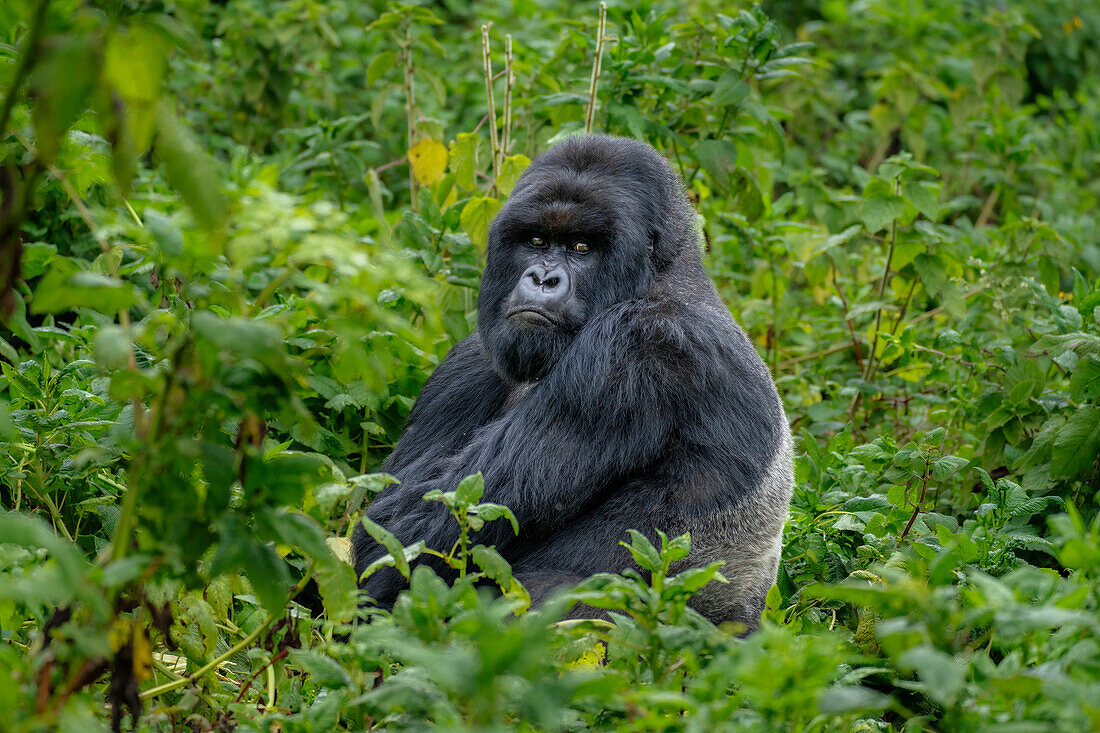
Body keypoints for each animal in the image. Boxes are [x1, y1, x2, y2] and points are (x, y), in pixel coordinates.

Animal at [352, 134, 792, 625]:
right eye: (536, 240)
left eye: (582, 247)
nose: (543, 279)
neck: (662, 278)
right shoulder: (470, 357)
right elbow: (393, 514)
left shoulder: (633, 346)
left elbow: (407, 535)